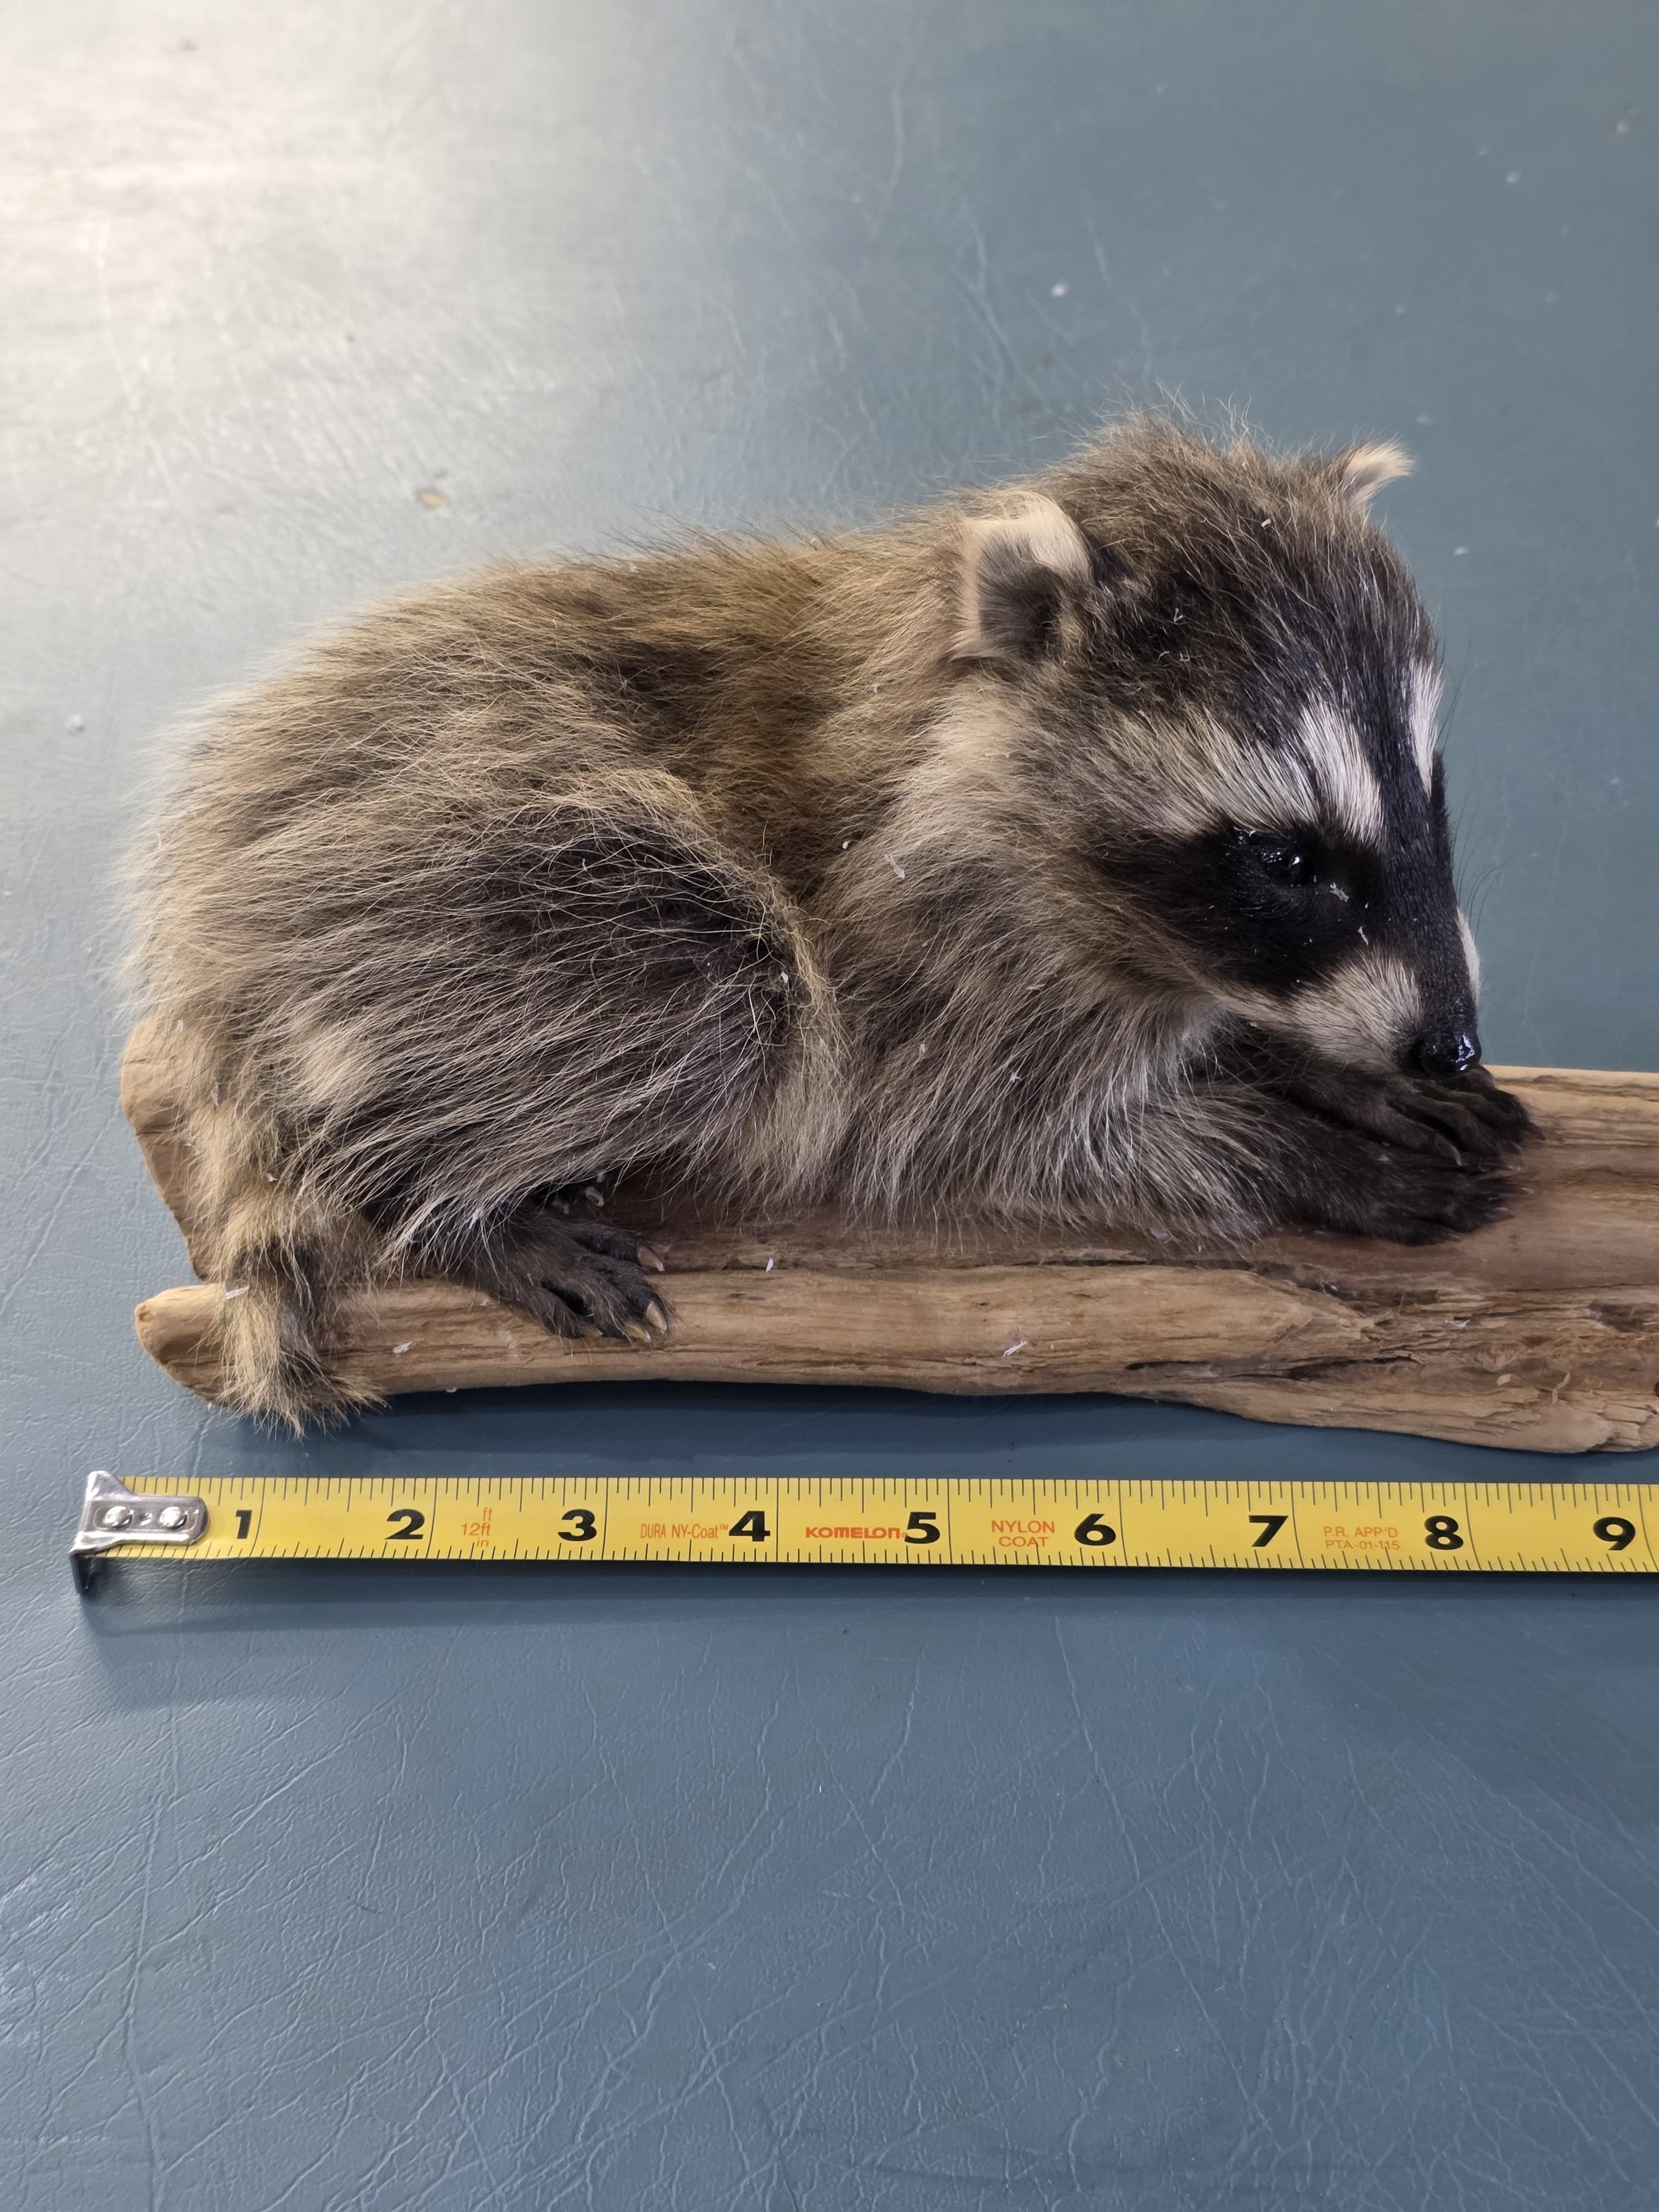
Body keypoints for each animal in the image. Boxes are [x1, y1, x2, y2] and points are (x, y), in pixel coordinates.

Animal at [132, 417, 1531, 1429]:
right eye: (1289, 856)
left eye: (1428, 793)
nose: (1449, 1041)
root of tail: (207, 909)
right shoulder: (928, 974)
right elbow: (1031, 1145)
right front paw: (1289, 1146)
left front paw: (1318, 1066)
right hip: (463, 871)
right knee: (713, 985)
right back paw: (428, 1188)